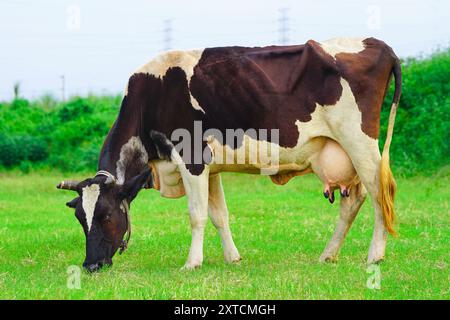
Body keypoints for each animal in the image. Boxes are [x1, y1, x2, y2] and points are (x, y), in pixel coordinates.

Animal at [55, 37, 400, 272]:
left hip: (360, 143)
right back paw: (328, 254)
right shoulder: (211, 168)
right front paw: (232, 257)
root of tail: (375, 42)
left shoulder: (192, 159)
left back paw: (375, 255)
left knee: (379, 194)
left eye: (106, 215)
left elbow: (196, 214)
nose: (90, 265)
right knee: (353, 201)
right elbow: (219, 215)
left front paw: (192, 263)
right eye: (80, 218)